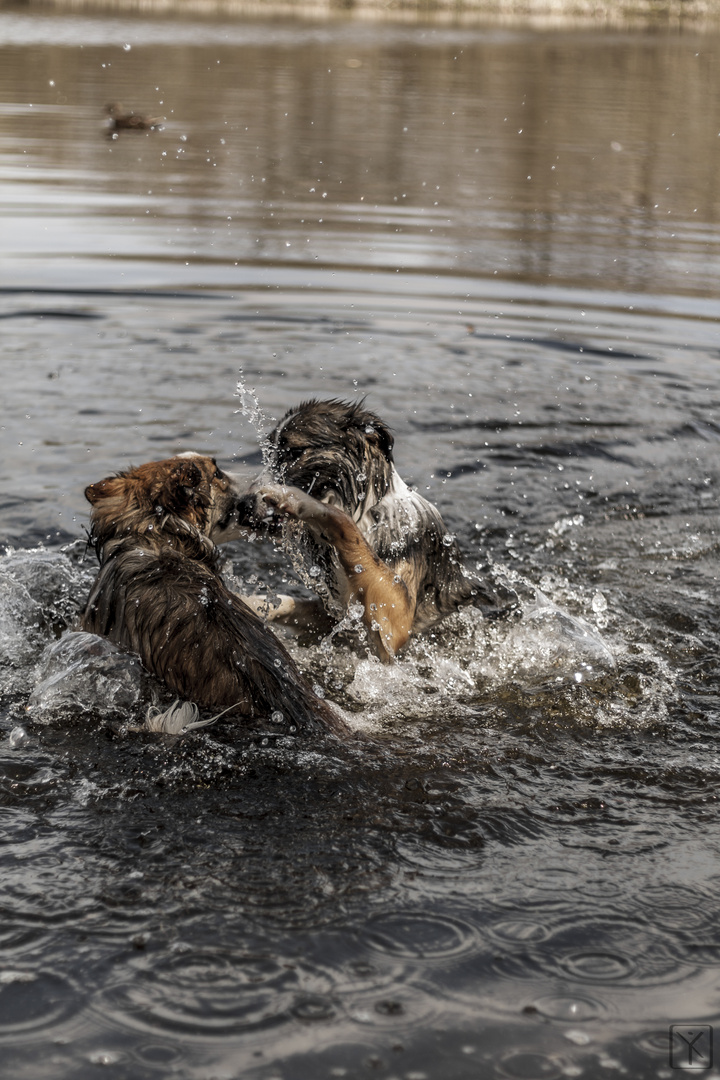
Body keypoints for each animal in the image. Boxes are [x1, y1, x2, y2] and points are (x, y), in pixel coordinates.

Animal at [239, 401, 515, 660]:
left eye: (294, 452)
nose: (243, 505)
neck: (367, 515)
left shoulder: (395, 625)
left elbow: (344, 525)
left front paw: (297, 500)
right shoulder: (337, 618)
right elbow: (285, 601)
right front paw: (245, 601)